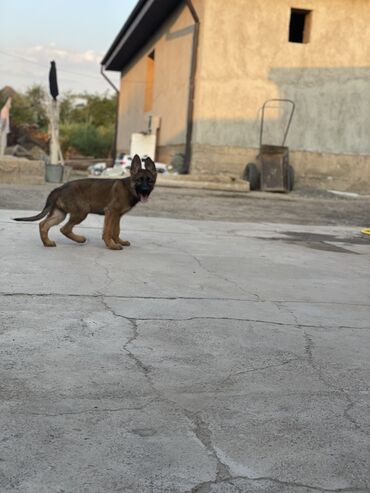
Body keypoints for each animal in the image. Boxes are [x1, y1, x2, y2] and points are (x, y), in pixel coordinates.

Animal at [13, 155, 156, 250]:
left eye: (150, 181)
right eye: (139, 180)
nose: (145, 190)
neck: (130, 188)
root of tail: (59, 188)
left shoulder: (117, 215)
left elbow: (116, 230)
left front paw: (119, 241)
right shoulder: (111, 212)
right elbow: (108, 231)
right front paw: (112, 245)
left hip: (60, 214)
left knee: (43, 224)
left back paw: (47, 243)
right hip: (82, 211)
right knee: (64, 228)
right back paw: (80, 239)